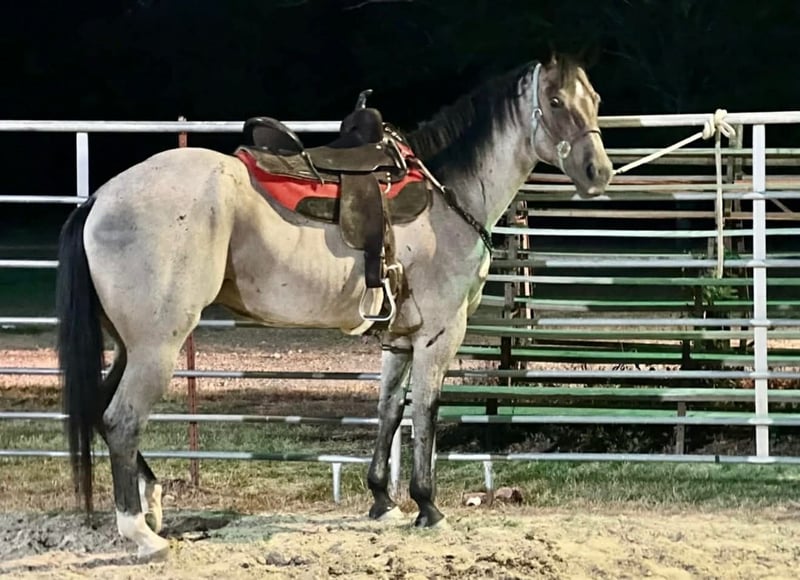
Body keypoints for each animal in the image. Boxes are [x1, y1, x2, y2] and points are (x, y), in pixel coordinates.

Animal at [55, 55, 612, 559]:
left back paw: (151, 502)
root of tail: (100, 199)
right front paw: (428, 507)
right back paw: (141, 533)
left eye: (596, 99)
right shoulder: (439, 334)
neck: (446, 195)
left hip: (129, 345)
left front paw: (383, 501)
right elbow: (425, 413)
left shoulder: (399, 340)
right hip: (157, 347)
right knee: (121, 420)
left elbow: (389, 411)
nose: (598, 172)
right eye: (555, 101)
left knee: (101, 411)